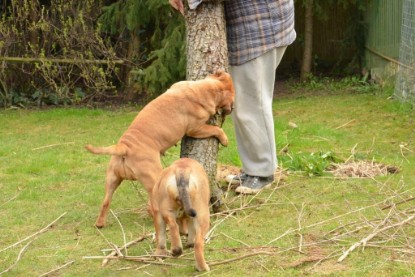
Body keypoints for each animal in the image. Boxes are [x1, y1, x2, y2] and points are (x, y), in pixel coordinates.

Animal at [86, 70, 236, 226]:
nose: (233, 108)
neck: (204, 89)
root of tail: (124, 148)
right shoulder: (196, 129)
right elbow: (216, 129)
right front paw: (224, 139)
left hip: (112, 179)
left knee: (105, 202)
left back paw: (100, 223)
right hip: (153, 178)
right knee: (151, 206)